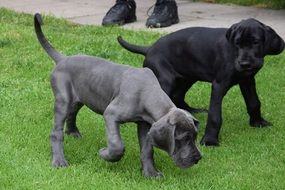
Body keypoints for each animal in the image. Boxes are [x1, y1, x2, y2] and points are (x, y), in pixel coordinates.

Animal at [34, 13, 201, 177]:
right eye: (183, 138)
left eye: (195, 136)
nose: (198, 158)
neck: (148, 93)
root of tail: (63, 59)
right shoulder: (111, 114)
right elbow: (117, 145)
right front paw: (104, 154)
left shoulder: (145, 124)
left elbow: (147, 149)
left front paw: (150, 173)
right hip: (63, 99)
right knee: (56, 132)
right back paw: (59, 161)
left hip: (79, 97)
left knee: (72, 113)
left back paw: (73, 132)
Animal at [116, 18, 282, 145]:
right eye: (237, 43)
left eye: (255, 42)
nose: (244, 64)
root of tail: (149, 49)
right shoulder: (219, 85)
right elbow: (215, 115)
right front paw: (209, 140)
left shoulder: (247, 80)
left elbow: (254, 102)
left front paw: (258, 122)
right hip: (166, 80)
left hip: (187, 77)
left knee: (177, 96)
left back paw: (191, 111)